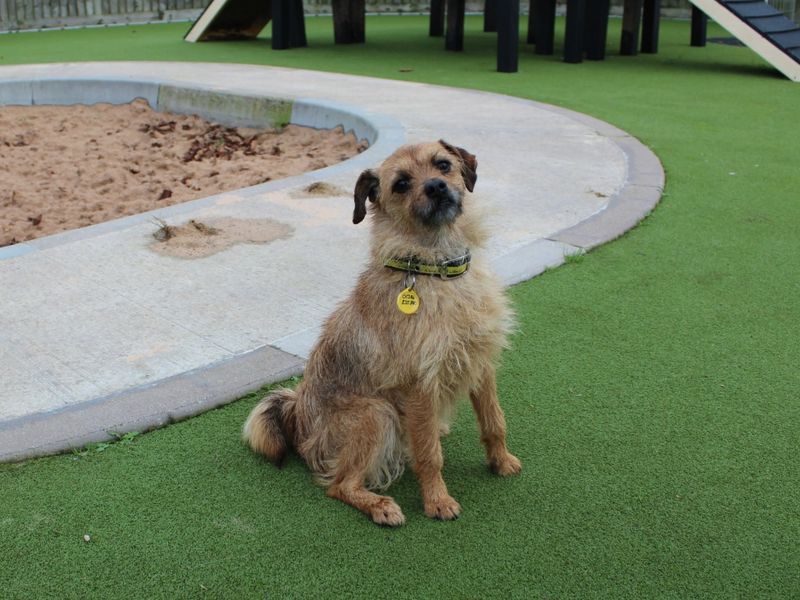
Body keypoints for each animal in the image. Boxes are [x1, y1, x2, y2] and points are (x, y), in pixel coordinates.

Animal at [242, 139, 520, 524]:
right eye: (401, 184)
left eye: (443, 165)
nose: (436, 187)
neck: (436, 268)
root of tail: (297, 417)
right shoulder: (418, 383)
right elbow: (430, 455)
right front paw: (437, 501)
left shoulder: (479, 361)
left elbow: (494, 420)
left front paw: (502, 462)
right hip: (375, 413)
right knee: (339, 485)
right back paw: (380, 506)